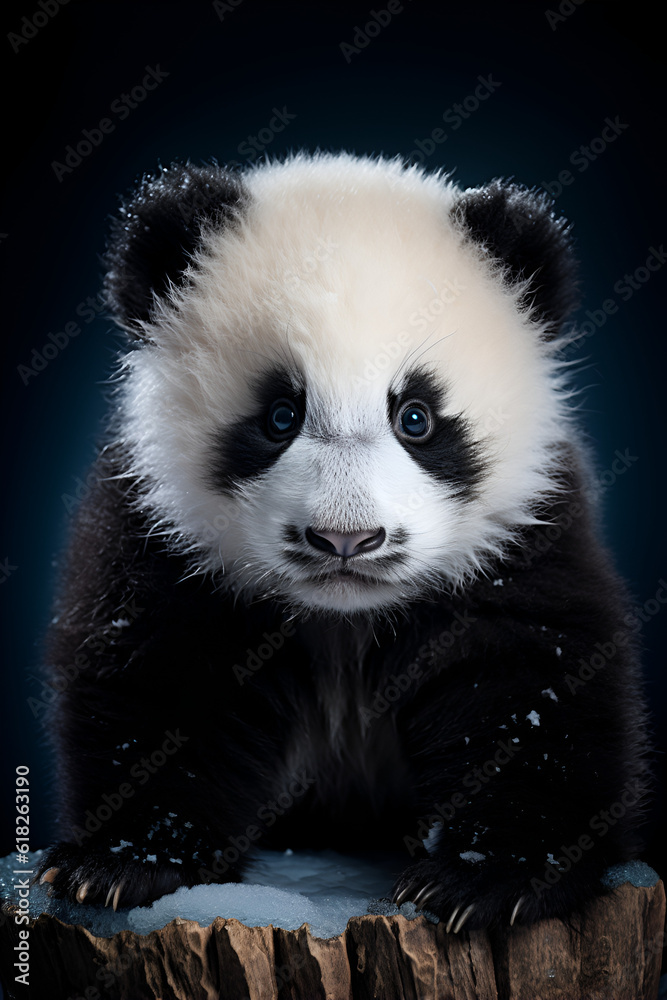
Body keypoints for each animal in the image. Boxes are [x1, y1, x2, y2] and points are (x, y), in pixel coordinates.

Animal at [37, 152, 649, 931]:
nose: (345, 539)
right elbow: (158, 678)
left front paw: (483, 878)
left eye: (415, 416)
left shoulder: (526, 535)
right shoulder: (158, 533)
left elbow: (532, 684)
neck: (344, 620)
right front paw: (126, 863)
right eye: (279, 416)